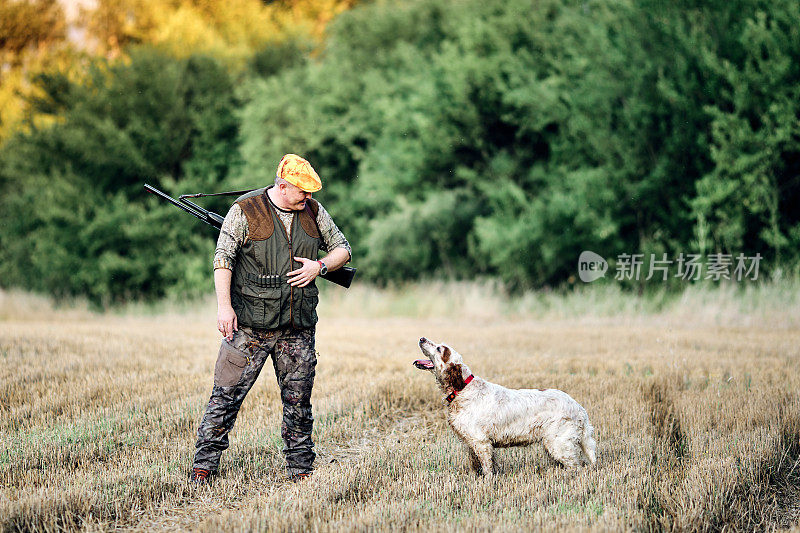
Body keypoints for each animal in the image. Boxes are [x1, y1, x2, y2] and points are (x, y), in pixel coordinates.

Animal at [416, 336, 596, 474]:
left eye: (440, 348)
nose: (422, 338)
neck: (463, 388)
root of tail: (579, 408)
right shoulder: (471, 443)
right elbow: (476, 466)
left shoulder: (481, 441)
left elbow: (487, 468)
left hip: (558, 443)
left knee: (577, 467)